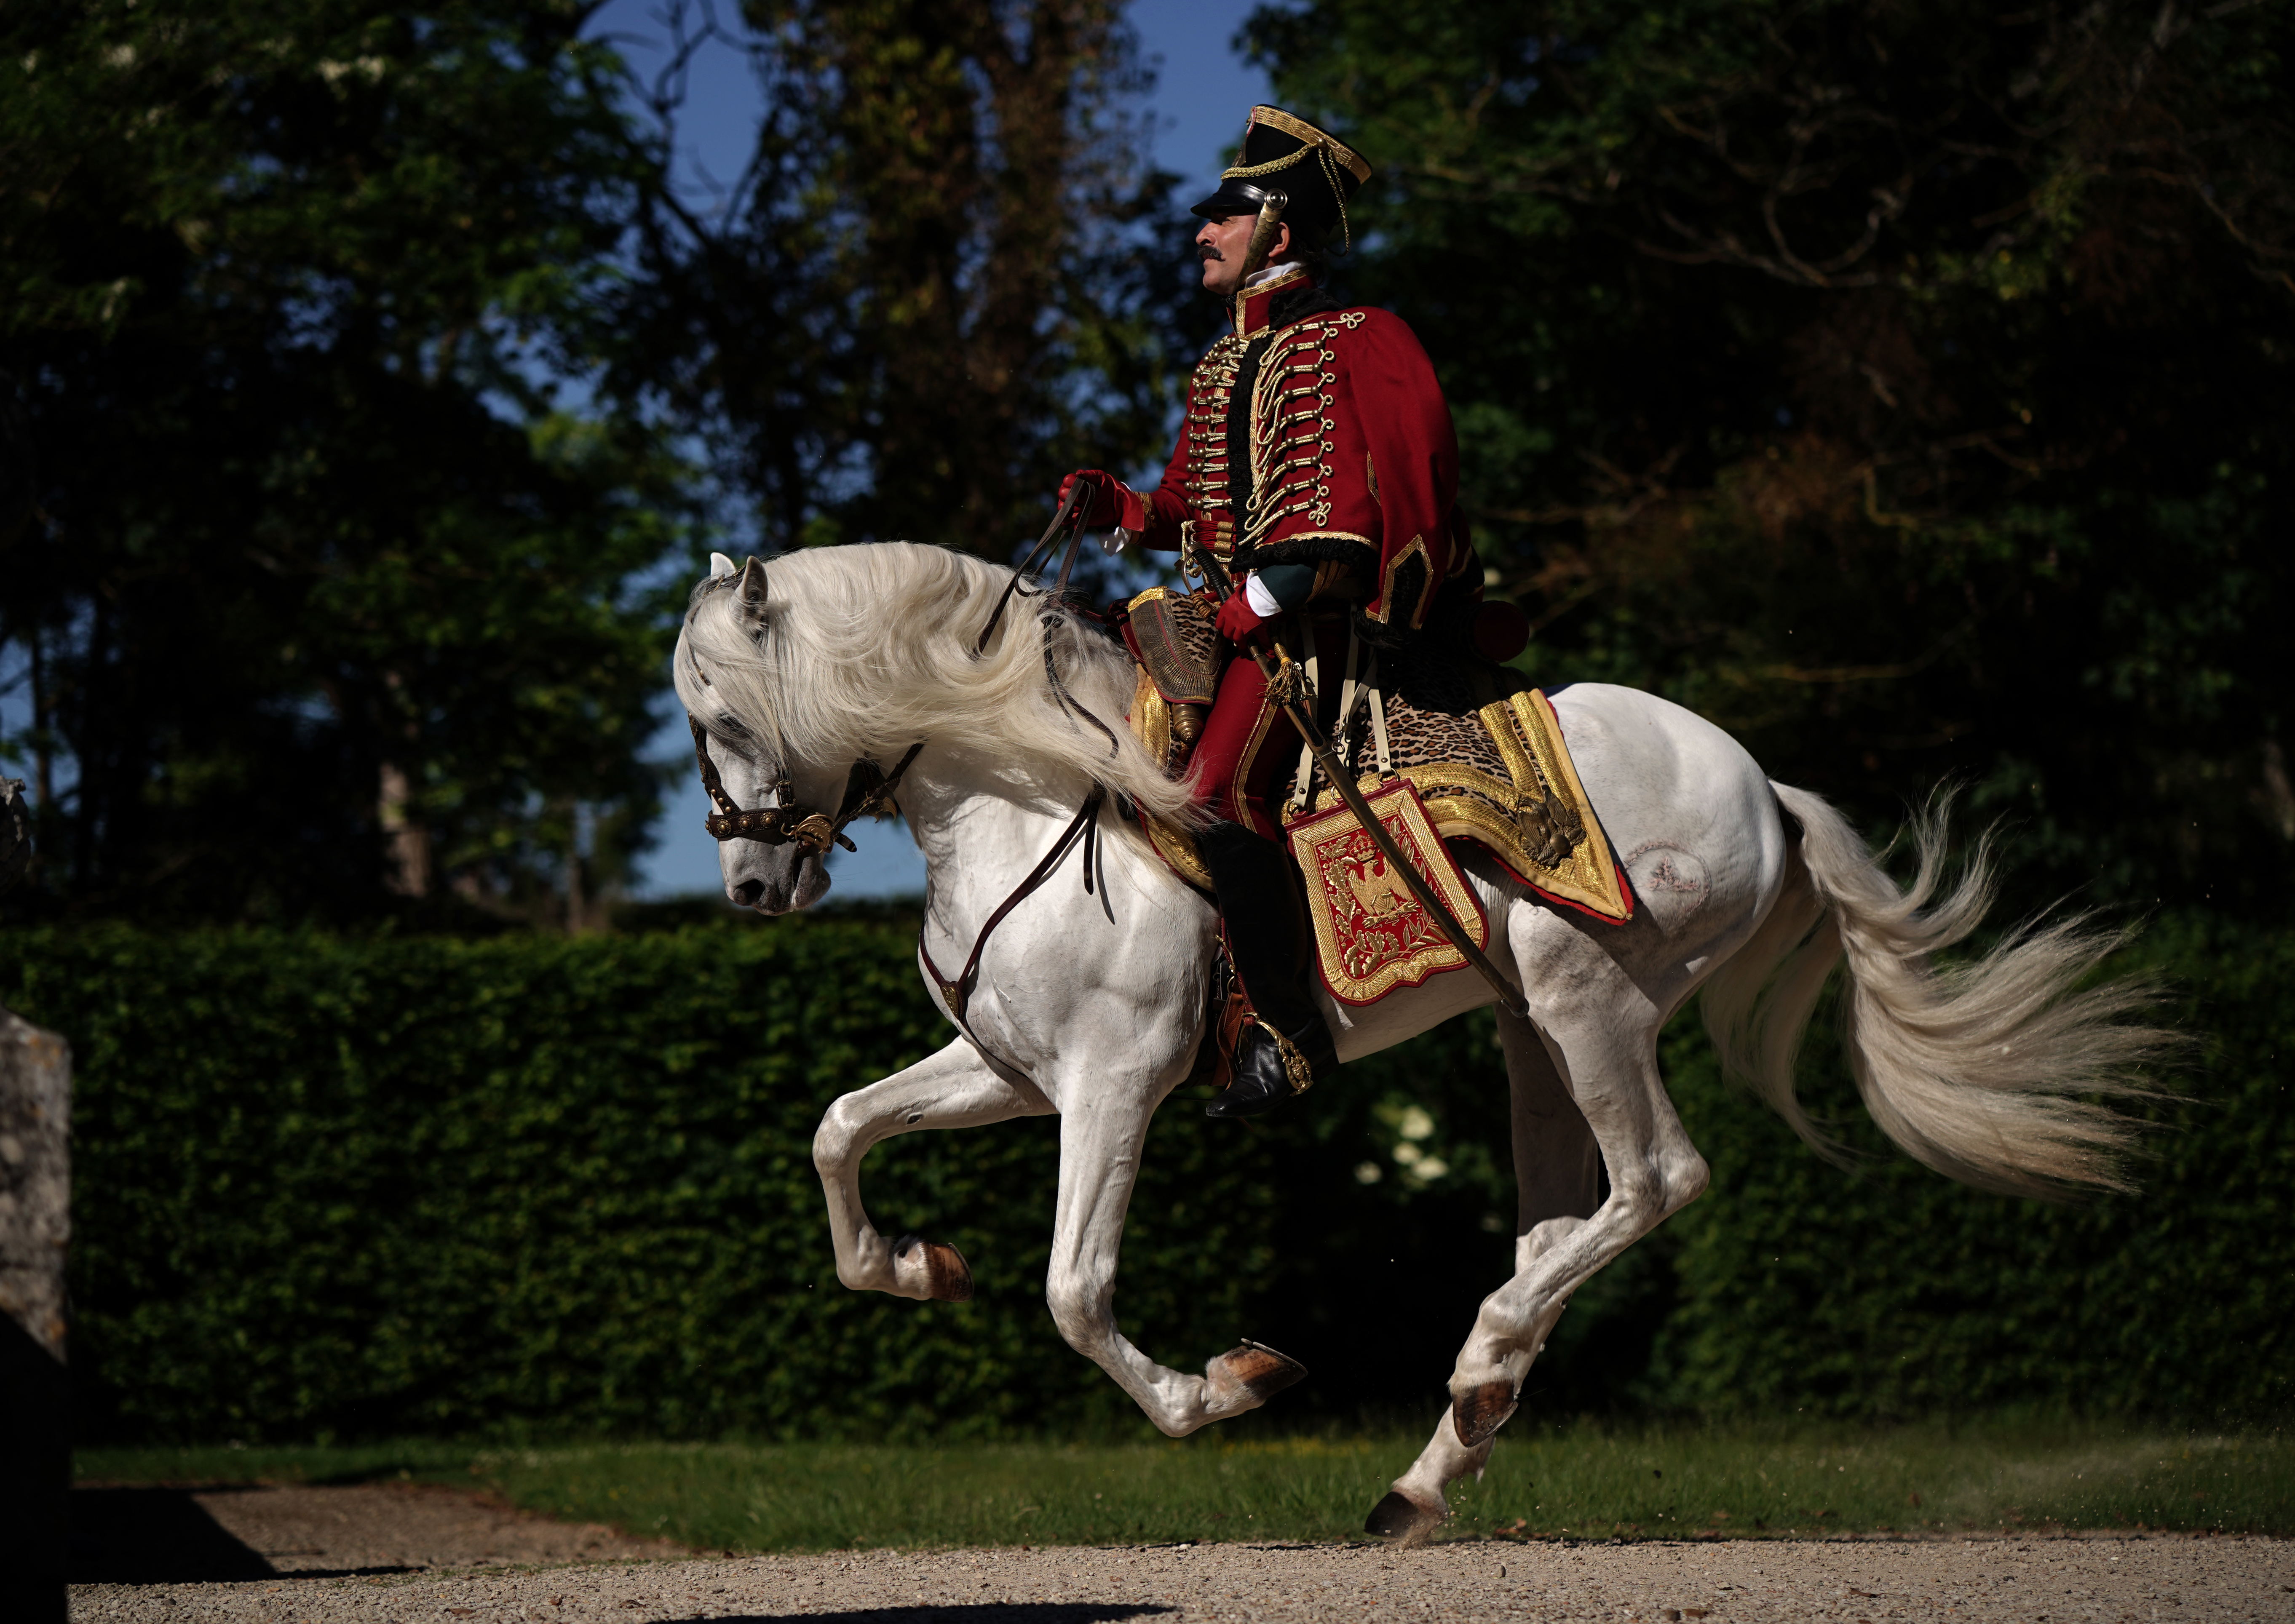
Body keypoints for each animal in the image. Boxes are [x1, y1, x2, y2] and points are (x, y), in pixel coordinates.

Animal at [670, 539, 2157, 1541]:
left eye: (726, 716)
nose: (748, 886)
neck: (1029, 786)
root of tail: (1766, 788)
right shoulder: (1010, 1072)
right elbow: (841, 1130)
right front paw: (916, 1266)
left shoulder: (1113, 1083)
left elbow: (1075, 1292)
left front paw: (1224, 1390)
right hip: (1528, 1034)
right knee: (1562, 1226)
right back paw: (1446, 1446)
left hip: (1583, 989)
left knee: (1656, 1181)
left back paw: (1475, 1378)